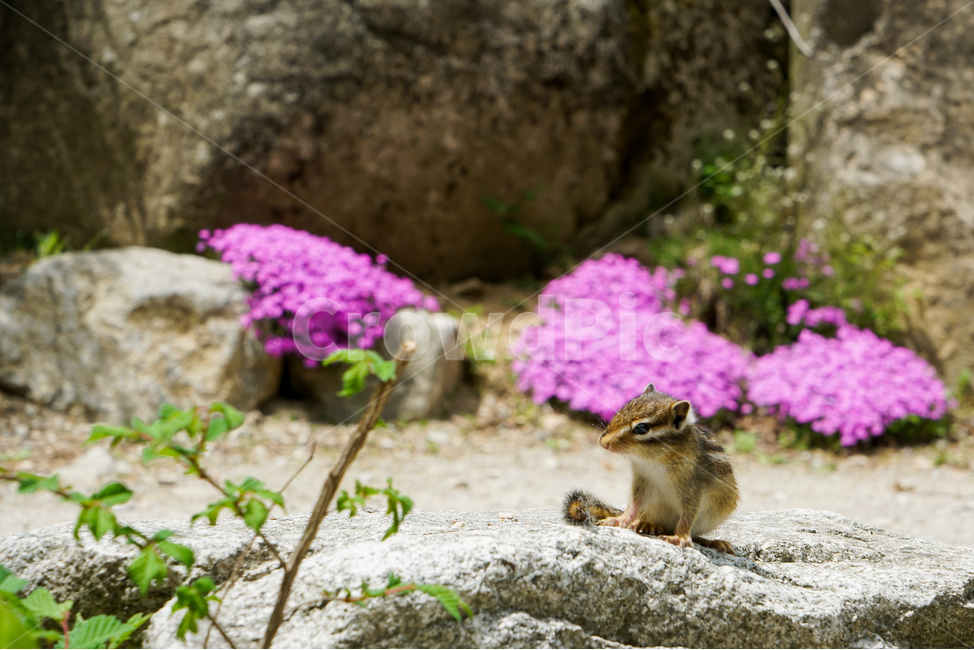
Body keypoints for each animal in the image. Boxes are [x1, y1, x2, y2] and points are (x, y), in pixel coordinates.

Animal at [564, 383, 739, 555]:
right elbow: (633, 505)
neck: (655, 461)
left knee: (694, 535)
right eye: (620, 411)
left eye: (641, 428)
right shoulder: (643, 481)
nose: (603, 442)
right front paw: (619, 519)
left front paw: (681, 537)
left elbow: (688, 516)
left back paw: (713, 542)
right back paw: (648, 525)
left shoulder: (694, 487)